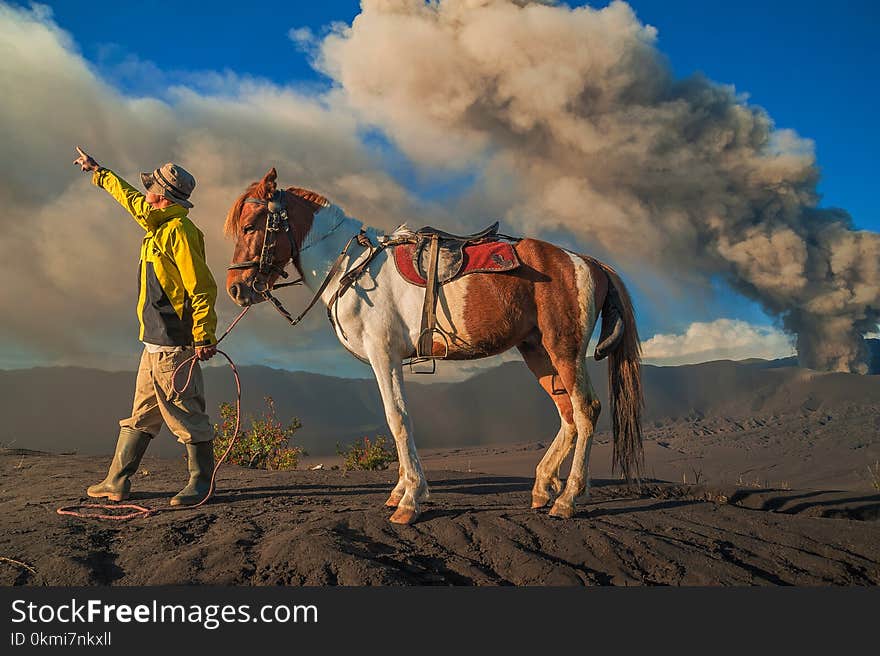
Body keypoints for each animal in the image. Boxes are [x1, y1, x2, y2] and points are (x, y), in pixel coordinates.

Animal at [223, 168, 644, 524]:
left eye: (250, 226)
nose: (235, 290)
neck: (352, 266)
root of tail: (587, 261)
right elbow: (398, 420)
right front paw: (400, 491)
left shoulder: (384, 355)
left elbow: (397, 419)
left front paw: (410, 499)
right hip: (538, 352)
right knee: (568, 414)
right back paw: (543, 487)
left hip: (564, 349)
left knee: (586, 410)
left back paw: (568, 498)